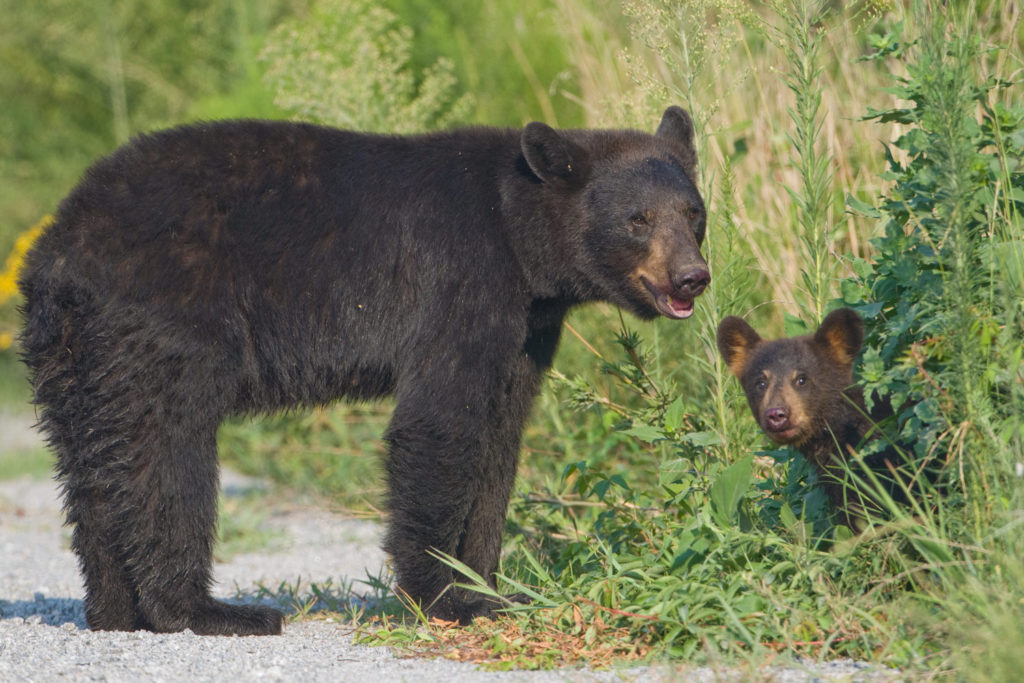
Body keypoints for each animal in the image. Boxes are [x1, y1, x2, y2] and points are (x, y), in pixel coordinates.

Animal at [19, 108, 708, 634]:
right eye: (638, 219)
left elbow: (500, 442)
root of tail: (60, 248)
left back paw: (115, 611)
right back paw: (208, 611)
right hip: (167, 323)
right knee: (167, 455)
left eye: (694, 212)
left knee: (93, 467)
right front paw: (443, 597)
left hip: (74, 356)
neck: (520, 236)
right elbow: (439, 426)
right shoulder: (460, 281)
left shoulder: (526, 330)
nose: (691, 277)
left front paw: (488, 589)